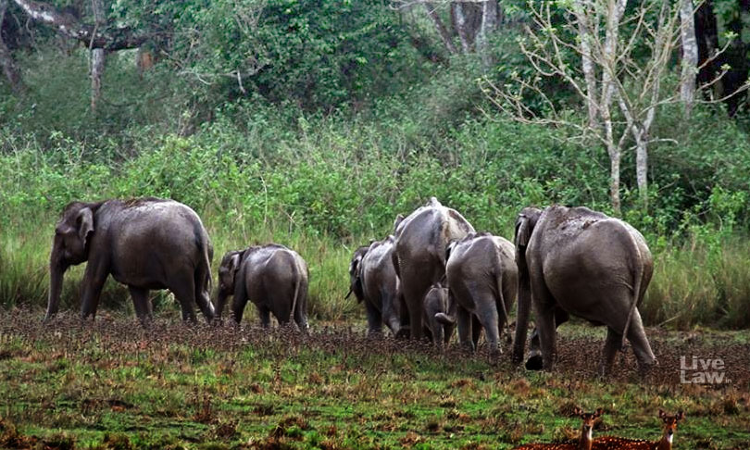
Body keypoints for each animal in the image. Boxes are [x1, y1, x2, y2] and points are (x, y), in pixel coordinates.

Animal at [46, 197, 214, 324]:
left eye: (57, 232)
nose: (47, 323)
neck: (92, 205)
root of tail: (197, 226)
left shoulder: (100, 241)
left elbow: (92, 280)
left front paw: (82, 327)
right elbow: (137, 290)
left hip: (177, 258)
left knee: (186, 296)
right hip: (203, 256)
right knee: (201, 294)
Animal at [512, 206, 656, 374]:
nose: (517, 364)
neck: (538, 211)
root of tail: (633, 245)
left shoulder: (534, 259)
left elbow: (543, 305)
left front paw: (545, 371)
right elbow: (560, 314)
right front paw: (536, 362)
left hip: (610, 279)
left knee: (626, 320)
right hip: (639, 276)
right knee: (625, 322)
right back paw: (603, 375)